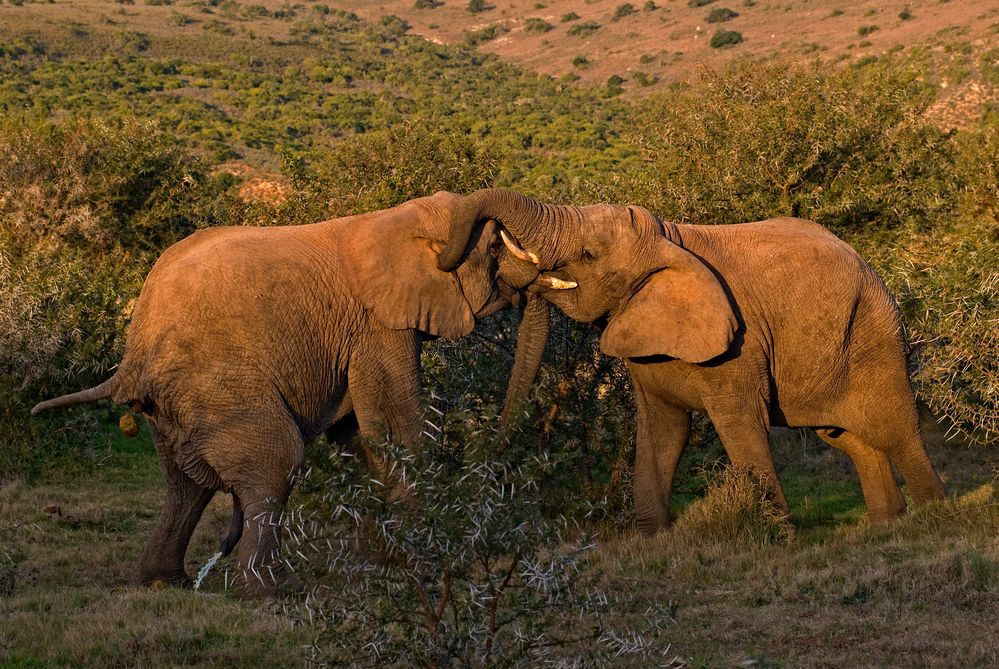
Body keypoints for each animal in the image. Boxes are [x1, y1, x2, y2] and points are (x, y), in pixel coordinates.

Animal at [33, 190, 548, 592]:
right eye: (497, 249)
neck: (404, 219)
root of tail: (130, 360)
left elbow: (357, 436)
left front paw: (380, 567)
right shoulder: (377, 326)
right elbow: (394, 422)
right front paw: (424, 562)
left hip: (174, 404)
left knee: (186, 486)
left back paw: (166, 582)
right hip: (216, 384)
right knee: (274, 462)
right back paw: (267, 591)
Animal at [442, 188, 948, 532]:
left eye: (587, 255)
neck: (668, 238)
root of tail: (870, 266)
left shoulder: (739, 341)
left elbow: (738, 422)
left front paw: (777, 534)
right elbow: (663, 430)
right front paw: (651, 539)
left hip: (874, 333)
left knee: (892, 427)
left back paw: (932, 516)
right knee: (846, 435)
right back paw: (884, 524)